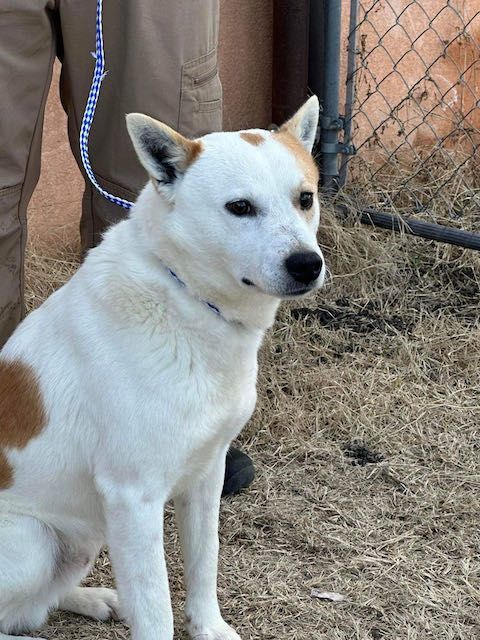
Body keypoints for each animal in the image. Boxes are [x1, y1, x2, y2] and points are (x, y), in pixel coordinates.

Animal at [0, 96, 326, 640]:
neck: (184, 296)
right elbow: (155, 607)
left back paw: (92, 598)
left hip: (82, 537)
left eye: (305, 198)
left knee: (37, 602)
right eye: (240, 207)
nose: (307, 264)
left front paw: (210, 627)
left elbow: (203, 563)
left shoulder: (207, 472)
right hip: (33, 540)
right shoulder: (134, 498)